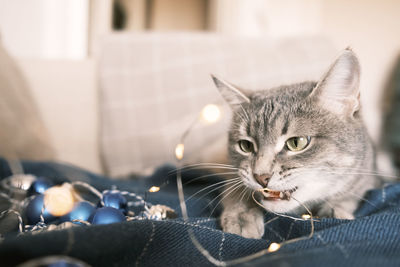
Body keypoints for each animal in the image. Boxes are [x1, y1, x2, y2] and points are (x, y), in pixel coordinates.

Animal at [211, 49, 380, 240]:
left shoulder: (367, 176)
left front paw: (335, 209)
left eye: (297, 143)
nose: (261, 177)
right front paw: (241, 215)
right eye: (245, 145)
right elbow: (236, 188)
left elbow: (349, 193)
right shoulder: (232, 174)